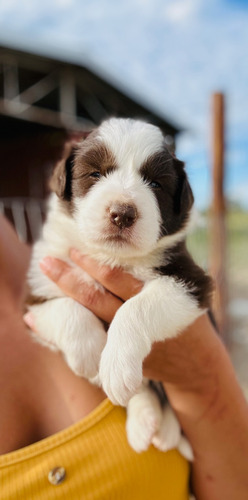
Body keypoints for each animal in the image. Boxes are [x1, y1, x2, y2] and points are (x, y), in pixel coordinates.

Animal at [26, 119, 213, 458]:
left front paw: (114, 365)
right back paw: (144, 423)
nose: (123, 213)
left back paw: (162, 429)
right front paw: (90, 355)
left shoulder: (191, 281)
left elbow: (135, 307)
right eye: (95, 174)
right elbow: (67, 308)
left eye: (156, 184)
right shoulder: (38, 288)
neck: (112, 257)